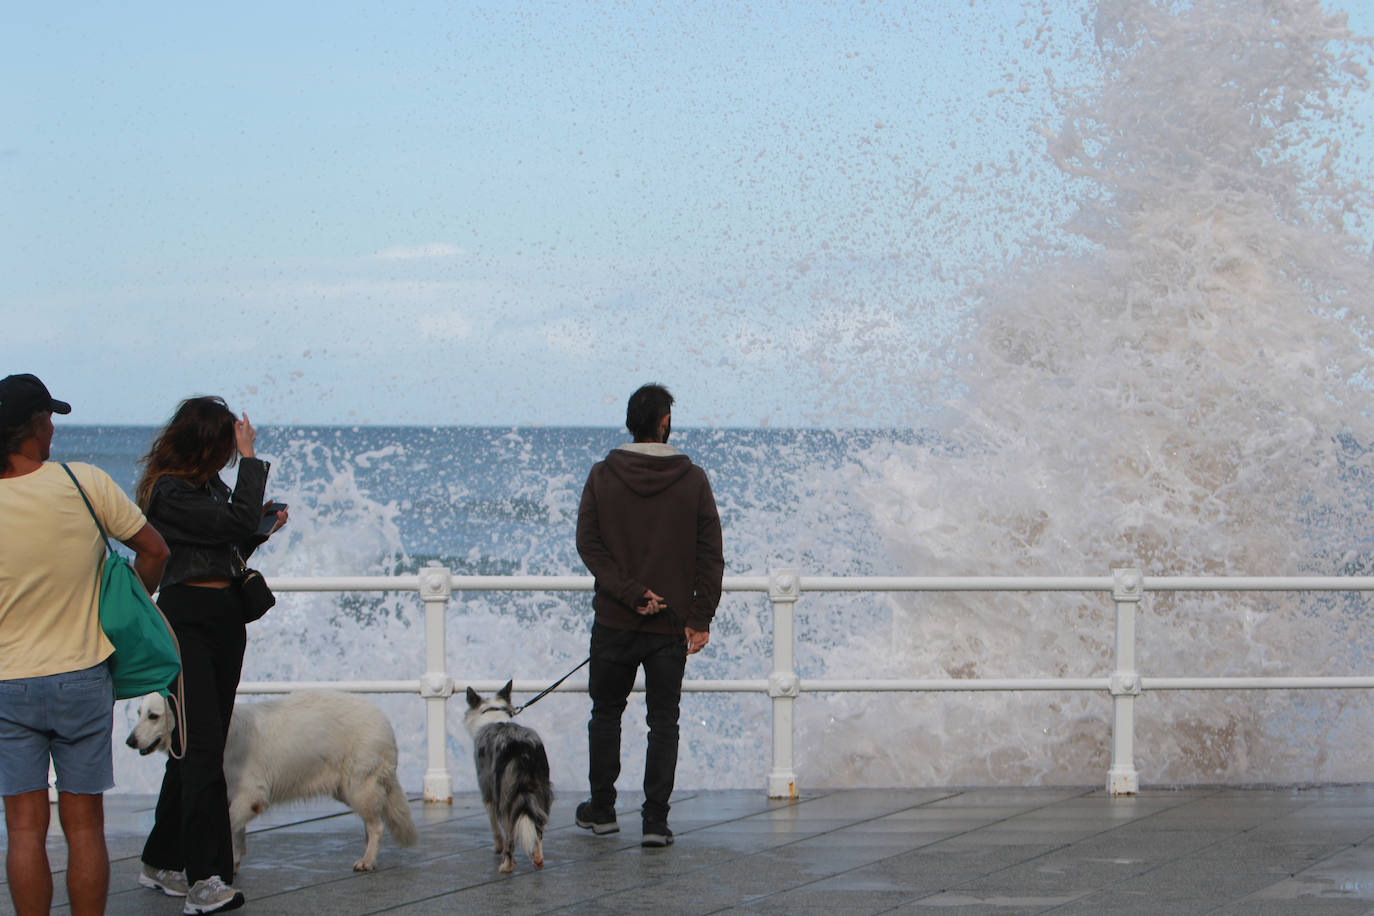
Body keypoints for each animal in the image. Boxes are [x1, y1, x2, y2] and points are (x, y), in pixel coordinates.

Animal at [129, 686, 417, 873]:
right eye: (139, 713)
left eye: (154, 716)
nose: (129, 741)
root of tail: (383, 720)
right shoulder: (233, 795)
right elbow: (237, 832)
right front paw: (233, 863)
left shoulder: (250, 795)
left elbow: (229, 825)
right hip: (347, 789)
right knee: (372, 822)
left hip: (359, 785)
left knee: (376, 825)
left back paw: (368, 860)